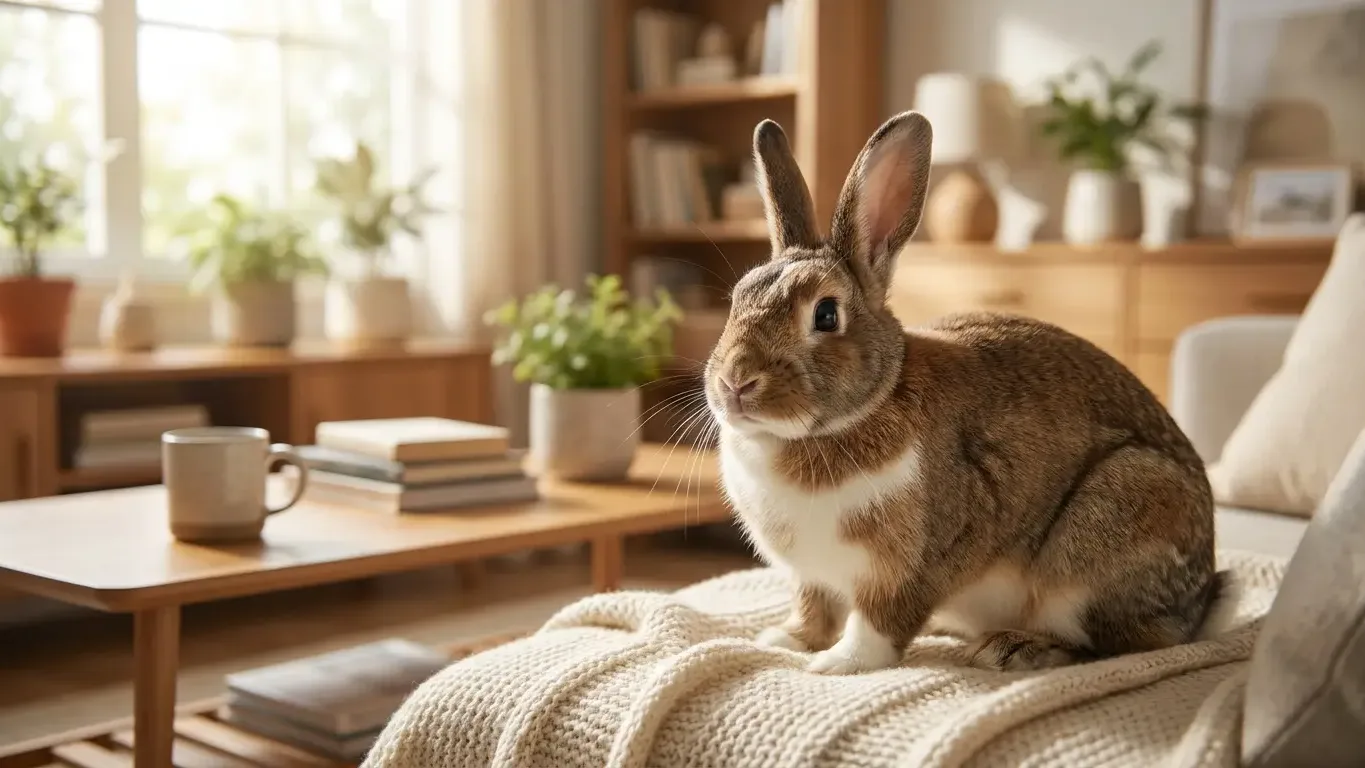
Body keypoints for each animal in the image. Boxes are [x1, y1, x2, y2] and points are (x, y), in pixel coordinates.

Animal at [703, 111, 1224, 675]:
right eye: (736, 299)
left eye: (825, 315)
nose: (734, 382)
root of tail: (1201, 599)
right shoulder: (812, 576)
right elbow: (814, 607)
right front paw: (786, 640)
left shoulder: (915, 562)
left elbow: (880, 622)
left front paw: (839, 664)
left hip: (1103, 538)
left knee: (1124, 643)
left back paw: (1013, 647)